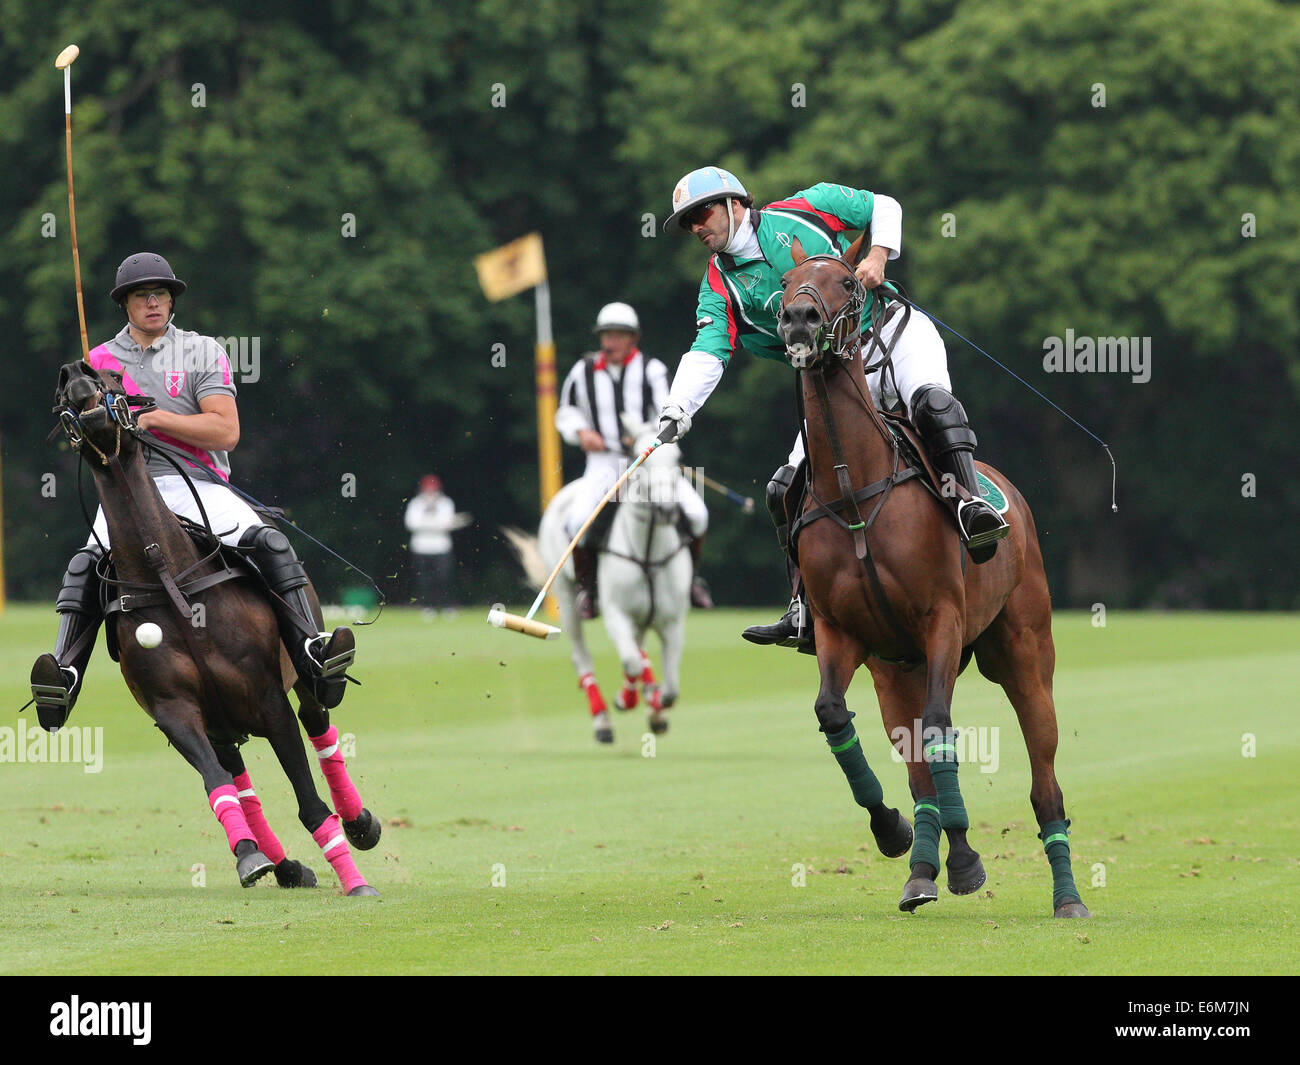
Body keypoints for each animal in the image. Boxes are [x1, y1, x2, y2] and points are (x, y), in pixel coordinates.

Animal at [53, 361, 382, 894]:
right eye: (60, 393)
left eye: (114, 383)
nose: (77, 374)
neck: (166, 574)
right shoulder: (175, 710)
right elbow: (218, 783)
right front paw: (249, 857)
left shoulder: (269, 700)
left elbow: (310, 802)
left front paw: (356, 882)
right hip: (221, 720)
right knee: (239, 778)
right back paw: (283, 864)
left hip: (300, 674)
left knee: (319, 721)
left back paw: (359, 823)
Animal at [501, 421, 696, 743]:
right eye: (642, 463)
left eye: (677, 458)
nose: (668, 511)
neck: (647, 552)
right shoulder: (617, 613)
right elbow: (631, 662)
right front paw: (627, 700)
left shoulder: (672, 620)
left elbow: (669, 690)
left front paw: (655, 708)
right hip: (566, 598)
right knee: (583, 656)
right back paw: (602, 719)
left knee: (640, 651)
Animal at [774, 245, 1092, 920]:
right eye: (785, 282)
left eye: (846, 280)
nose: (798, 320)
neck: (854, 488)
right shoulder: (841, 633)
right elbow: (834, 714)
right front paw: (895, 833)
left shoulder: (940, 618)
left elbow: (944, 724)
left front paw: (965, 861)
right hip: (895, 671)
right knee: (916, 758)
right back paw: (922, 867)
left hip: (1025, 655)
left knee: (1044, 779)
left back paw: (1068, 898)